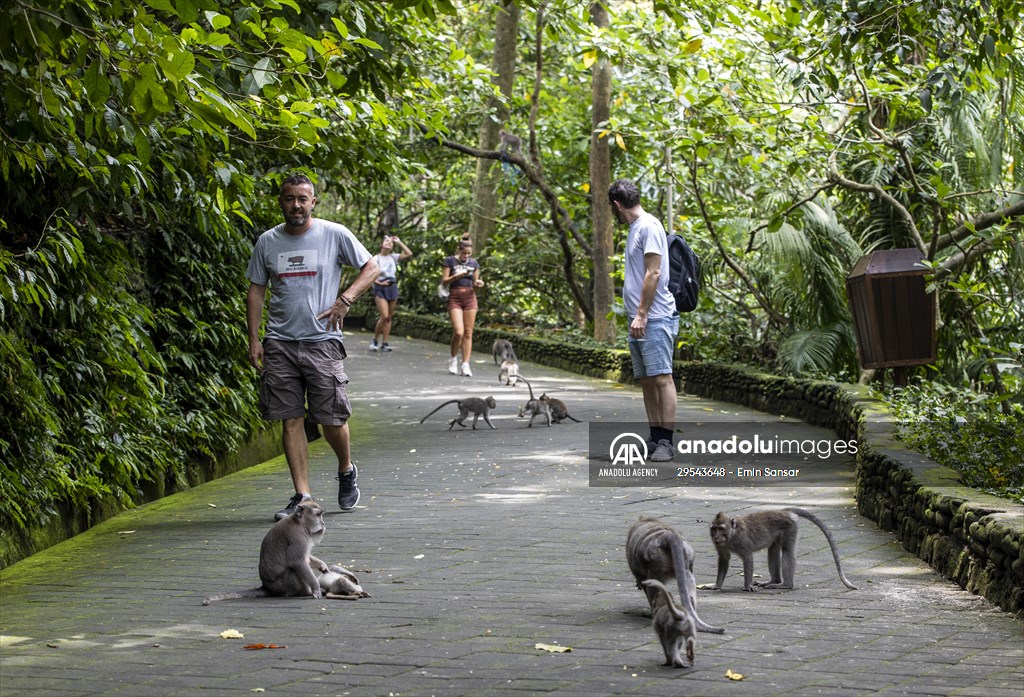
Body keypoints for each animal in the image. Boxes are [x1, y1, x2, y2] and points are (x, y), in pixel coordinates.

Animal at [708, 507, 859, 592]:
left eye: (721, 528)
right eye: (714, 529)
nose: (716, 537)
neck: (731, 536)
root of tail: (785, 511)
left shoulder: (741, 541)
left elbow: (747, 558)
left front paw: (747, 586)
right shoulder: (720, 545)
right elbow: (724, 559)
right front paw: (716, 585)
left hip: (790, 527)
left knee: (787, 552)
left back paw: (786, 584)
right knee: (773, 552)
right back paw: (774, 581)